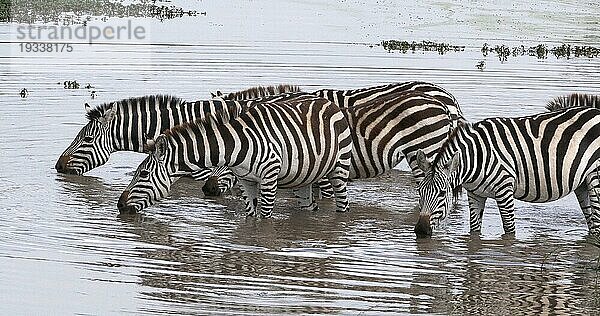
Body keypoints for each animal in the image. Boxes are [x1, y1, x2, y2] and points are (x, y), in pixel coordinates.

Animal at [116, 95, 352, 217]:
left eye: (144, 174)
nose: (119, 205)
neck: (235, 146)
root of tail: (328, 103)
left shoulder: (269, 179)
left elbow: (265, 219)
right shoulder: (246, 180)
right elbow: (251, 218)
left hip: (338, 169)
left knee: (343, 204)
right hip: (303, 178)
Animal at [414, 94, 600, 237]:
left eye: (442, 193)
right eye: (419, 192)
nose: (420, 231)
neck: (477, 157)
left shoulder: (504, 190)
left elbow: (509, 230)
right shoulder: (475, 194)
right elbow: (474, 230)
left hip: (596, 179)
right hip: (582, 183)